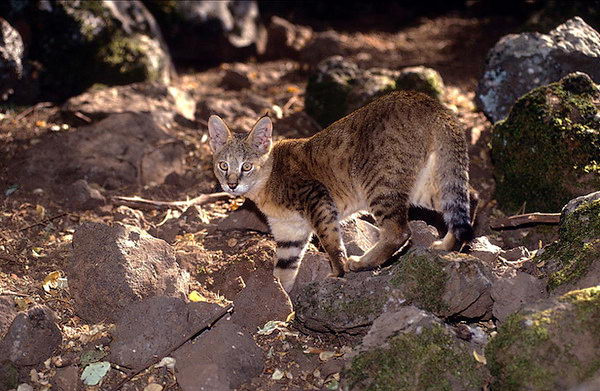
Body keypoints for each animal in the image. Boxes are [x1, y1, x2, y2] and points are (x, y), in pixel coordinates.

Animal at [209, 89, 476, 290]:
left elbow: (331, 242)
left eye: (246, 166)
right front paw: (281, 300)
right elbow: (284, 269)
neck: (266, 185)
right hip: (427, 183)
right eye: (223, 165)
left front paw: (337, 272)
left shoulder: (317, 198)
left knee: (399, 232)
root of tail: (428, 101)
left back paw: (362, 262)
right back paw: (450, 246)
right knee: (468, 197)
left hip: (380, 183)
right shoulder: (289, 232)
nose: (231, 184)